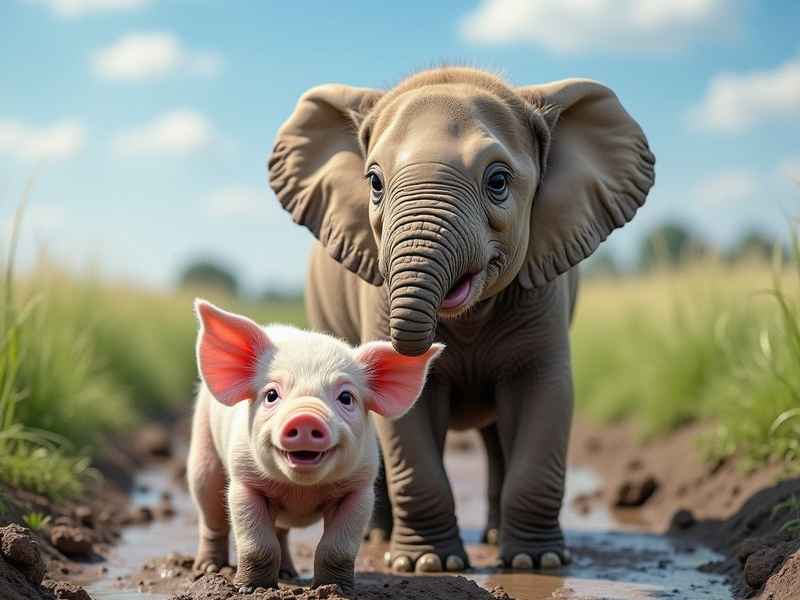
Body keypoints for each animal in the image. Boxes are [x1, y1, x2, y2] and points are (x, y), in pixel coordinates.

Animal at [267, 67, 655, 573]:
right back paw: (377, 535)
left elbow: (545, 395)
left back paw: (495, 536)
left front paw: (538, 562)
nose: (423, 345)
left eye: (498, 181)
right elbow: (406, 429)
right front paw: (426, 565)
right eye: (374, 182)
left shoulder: (543, 289)